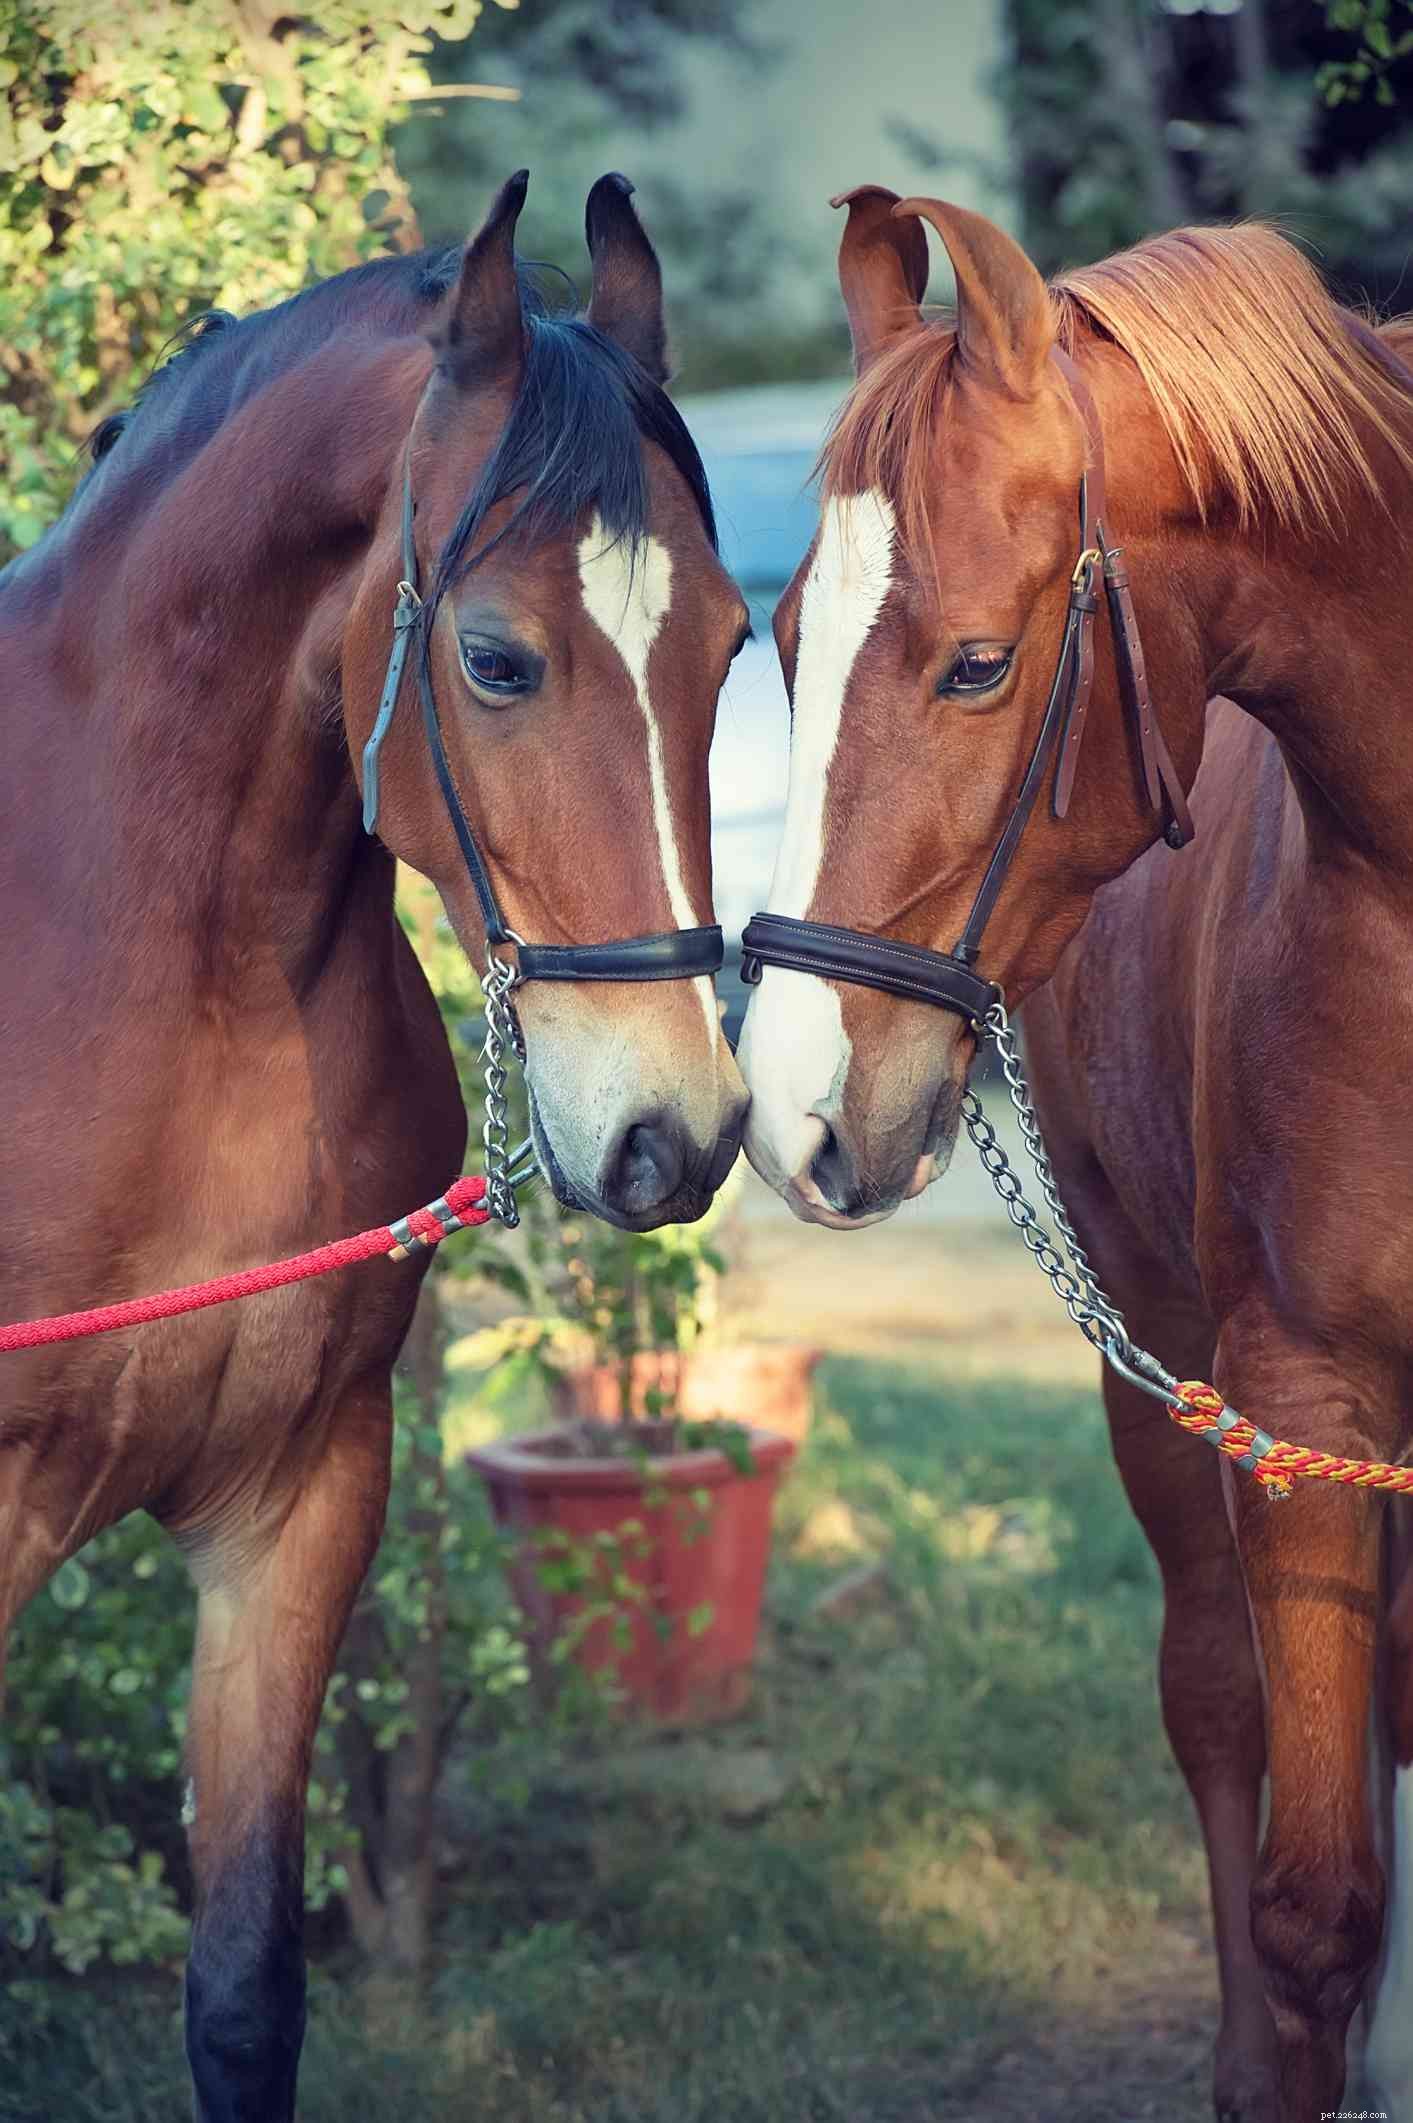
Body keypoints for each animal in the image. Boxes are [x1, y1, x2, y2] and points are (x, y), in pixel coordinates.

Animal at [737, 188, 1413, 2121]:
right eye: (781, 643)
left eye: (977, 662)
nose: (795, 1105)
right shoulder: (1303, 1403)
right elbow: (1311, 1903)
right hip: (1160, 1359)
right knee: (1214, 1699)